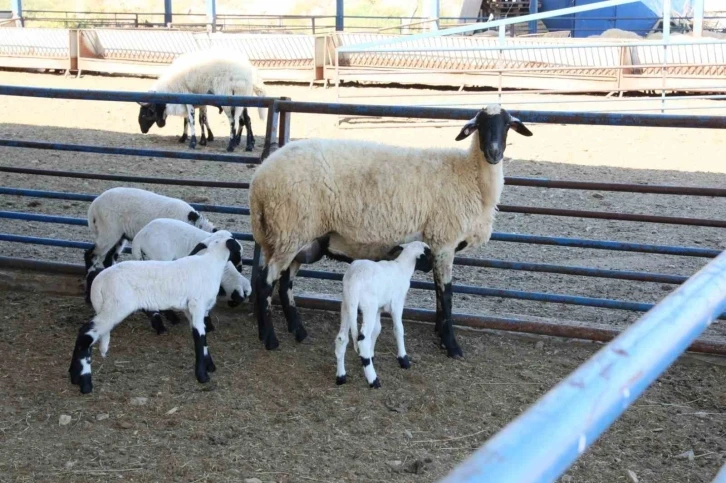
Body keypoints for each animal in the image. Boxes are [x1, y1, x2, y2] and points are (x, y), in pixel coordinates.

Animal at [67, 230, 242, 394]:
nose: (240, 266)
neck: (211, 264)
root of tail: (99, 280)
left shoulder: (191, 310)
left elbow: (202, 339)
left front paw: (209, 366)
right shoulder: (198, 306)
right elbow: (199, 338)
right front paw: (202, 376)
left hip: (109, 307)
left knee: (85, 333)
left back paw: (74, 376)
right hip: (115, 307)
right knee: (86, 333)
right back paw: (85, 384)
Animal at [84, 187, 216, 300]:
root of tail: (94, 205)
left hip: (119, 236)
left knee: (108, 259)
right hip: (108, 231)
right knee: (91, 255)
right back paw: (89, 295)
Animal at [138, 48, 268, 151]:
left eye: (146, 114)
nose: (143, 131)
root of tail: (248, 74)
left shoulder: (187, 97)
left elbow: (192, 120)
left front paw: (193, 142)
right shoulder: (196, 102)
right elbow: (197, 120)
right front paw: (197, 139)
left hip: (227, 96)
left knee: (234, 121)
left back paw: (232, 145)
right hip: (241, 99)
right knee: (245, 120)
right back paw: (247, 144)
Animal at [250, 105, 536, 360]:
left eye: (507, 125)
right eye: (480, 125)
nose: (494, 152)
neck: (471, 176)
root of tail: (259, 180)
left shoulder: (437, 245)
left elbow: (438, 293)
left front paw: (440, 335)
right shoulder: (444, 240)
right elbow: (446, 294)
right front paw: (451, 345)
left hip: (295, 237)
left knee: (284, 283)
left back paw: (297, 331)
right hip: (289, 230)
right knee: (264, 283)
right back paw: (269, 338)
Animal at [338, 242, 436, 390]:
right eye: (429, 255)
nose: (430, 268)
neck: (402, 268)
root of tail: (355, 280)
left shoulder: (379, 309)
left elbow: (377, 330)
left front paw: (372, 355)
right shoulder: (397, 304)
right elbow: (398, 329)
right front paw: (403, 360)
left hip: (348, 306)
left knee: (342, 338)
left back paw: (341, 377)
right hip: (369, 307)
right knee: (362, 340)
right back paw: (373, 380)